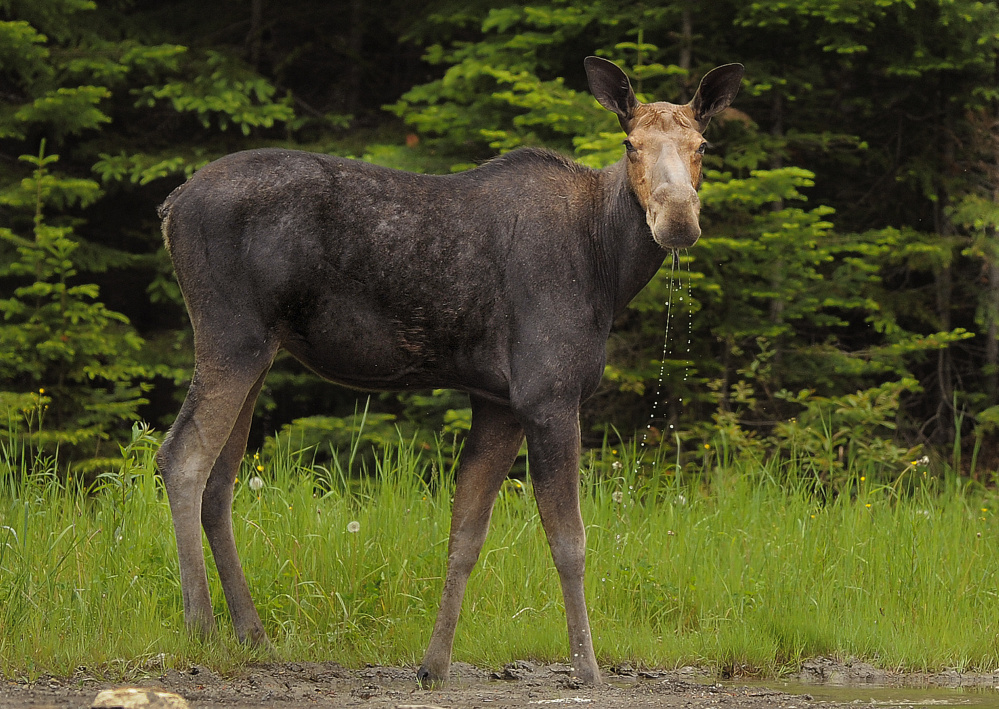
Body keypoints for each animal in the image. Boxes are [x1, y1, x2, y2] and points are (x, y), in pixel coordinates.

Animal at [155, 55, 744, 686]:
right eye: (631, 143)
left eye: (702, 145)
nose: (678, 219)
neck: (609, 267)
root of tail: (171, 206)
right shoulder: (549, 394)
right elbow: (570, 541)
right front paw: (587, 668)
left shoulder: (499, 402)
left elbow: (464, 534)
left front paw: (433, 665)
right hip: (230, 335)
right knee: (182, 457)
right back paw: (200, 625)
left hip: (260, 350)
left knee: (220, 482)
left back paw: (253, 633)